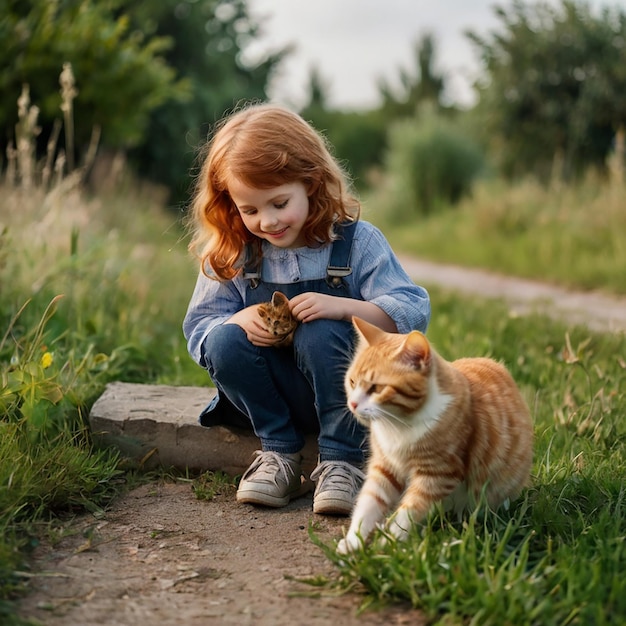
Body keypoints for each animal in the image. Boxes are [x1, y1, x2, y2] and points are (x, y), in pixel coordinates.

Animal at [336, 316, 532, 552]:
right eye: (352, 382)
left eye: (376, 388)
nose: (353, 404)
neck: (398, 424)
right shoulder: (385, 467)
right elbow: (369, 503)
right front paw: (353, 541)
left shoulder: (437, 473)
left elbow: (409, 512)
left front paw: (390, 542)